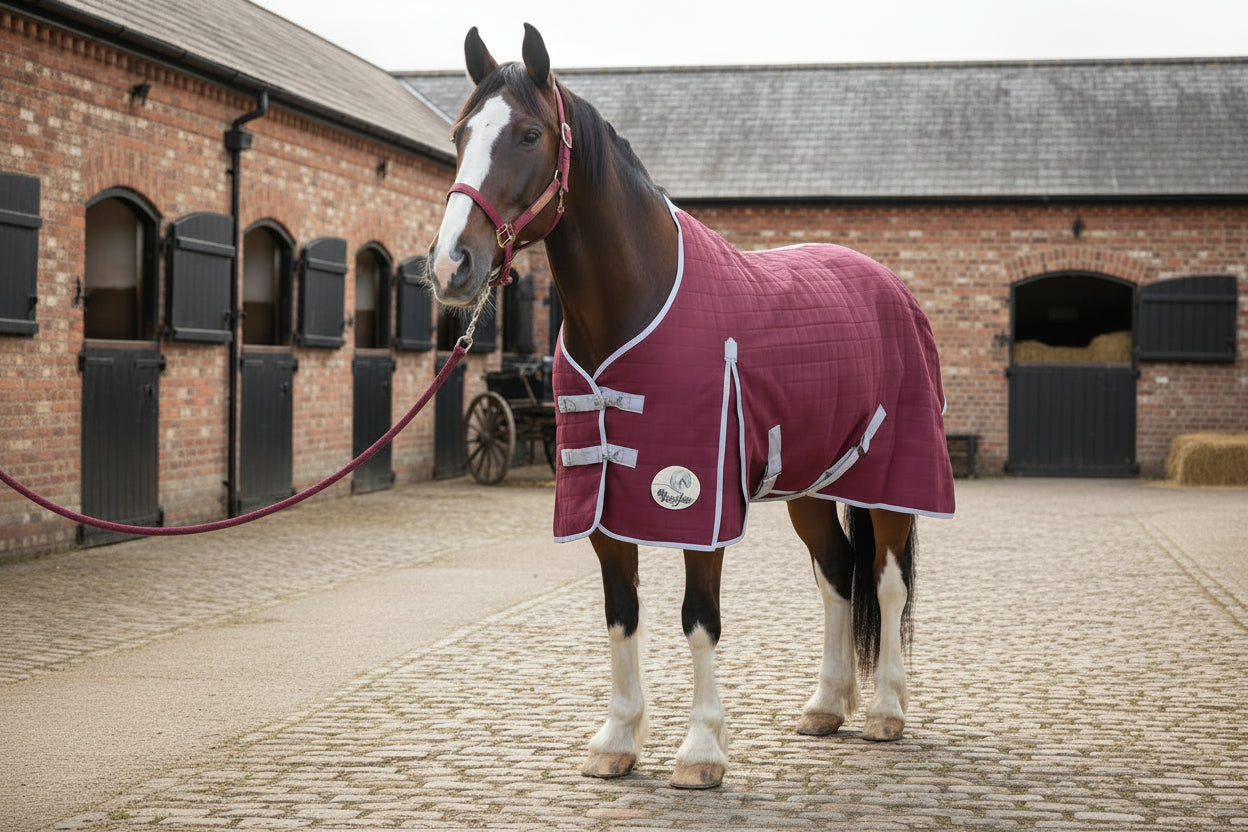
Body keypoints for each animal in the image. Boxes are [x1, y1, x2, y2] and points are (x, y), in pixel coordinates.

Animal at [426, 24, 955, 790]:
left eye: (527, 133)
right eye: (459, 134)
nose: (450, 266)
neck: (635, 303)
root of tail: (891, 286)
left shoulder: (696, 498)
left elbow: (699, 618)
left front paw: (702, 750)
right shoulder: (601, 499)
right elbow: (621, 614)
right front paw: (617, 740)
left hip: (889, 482)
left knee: (885, 583)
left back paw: (886, 709)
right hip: (809, 485)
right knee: (837, 578)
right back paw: (826, 705)